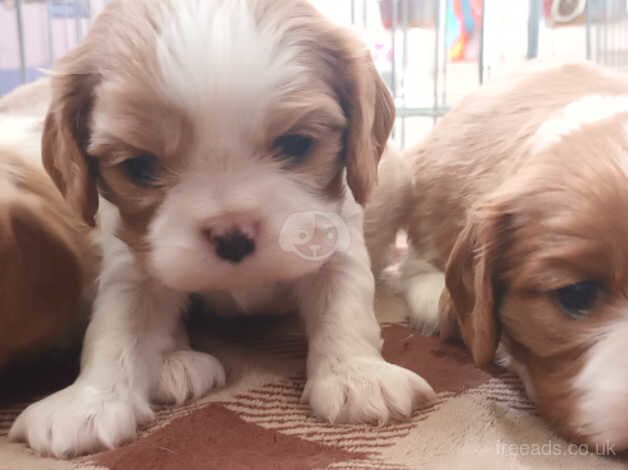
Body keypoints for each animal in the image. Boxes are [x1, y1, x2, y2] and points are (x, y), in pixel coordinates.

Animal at [9, 0, 434, 458]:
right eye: (139, 167)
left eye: (297, 144)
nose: (232, 235)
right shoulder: (130, 259)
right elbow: (116, 327)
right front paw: (89, 402)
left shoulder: (333, 234)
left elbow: (343, 303)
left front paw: (357, 376)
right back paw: (174, 361)